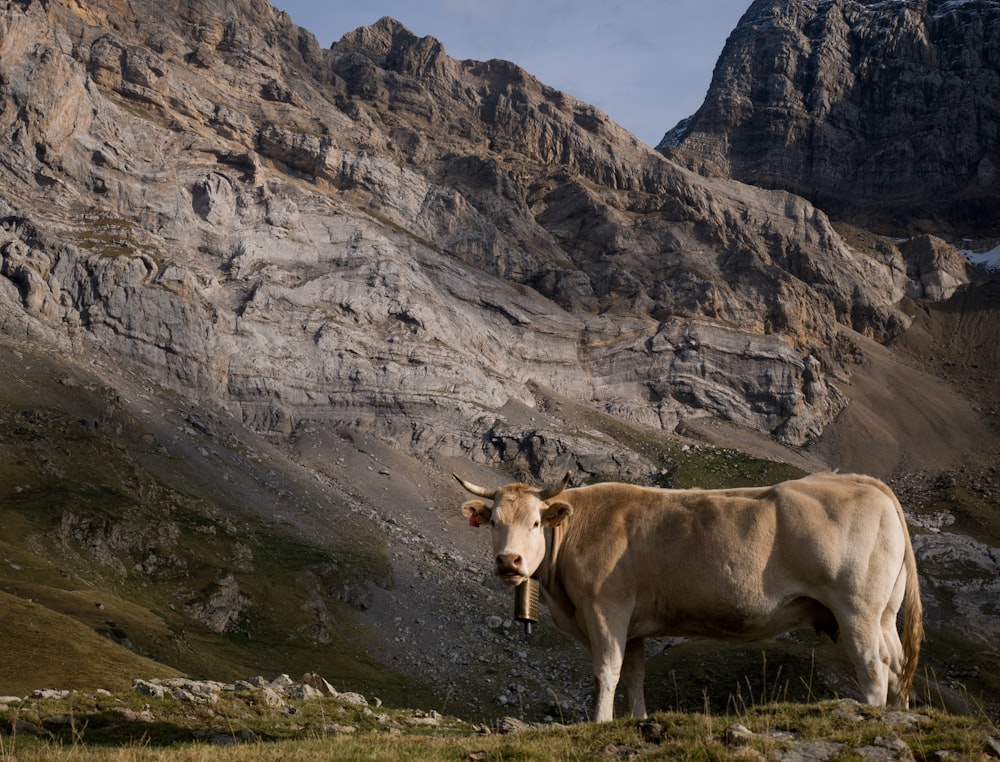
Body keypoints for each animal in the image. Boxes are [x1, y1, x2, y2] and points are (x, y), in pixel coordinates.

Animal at [458, 466, 924, 720]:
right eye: (494, 522)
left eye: (536, 523)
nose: (509, 561)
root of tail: (866, 482)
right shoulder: (634, 626)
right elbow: (634, 676)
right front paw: (636, 721)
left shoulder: (606, 608)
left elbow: (606, 672)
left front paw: (600, 723)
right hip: (883, 614)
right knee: (898, 665)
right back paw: (899, 715)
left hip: (857, 609)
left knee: (872, 667)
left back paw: (872, 716)